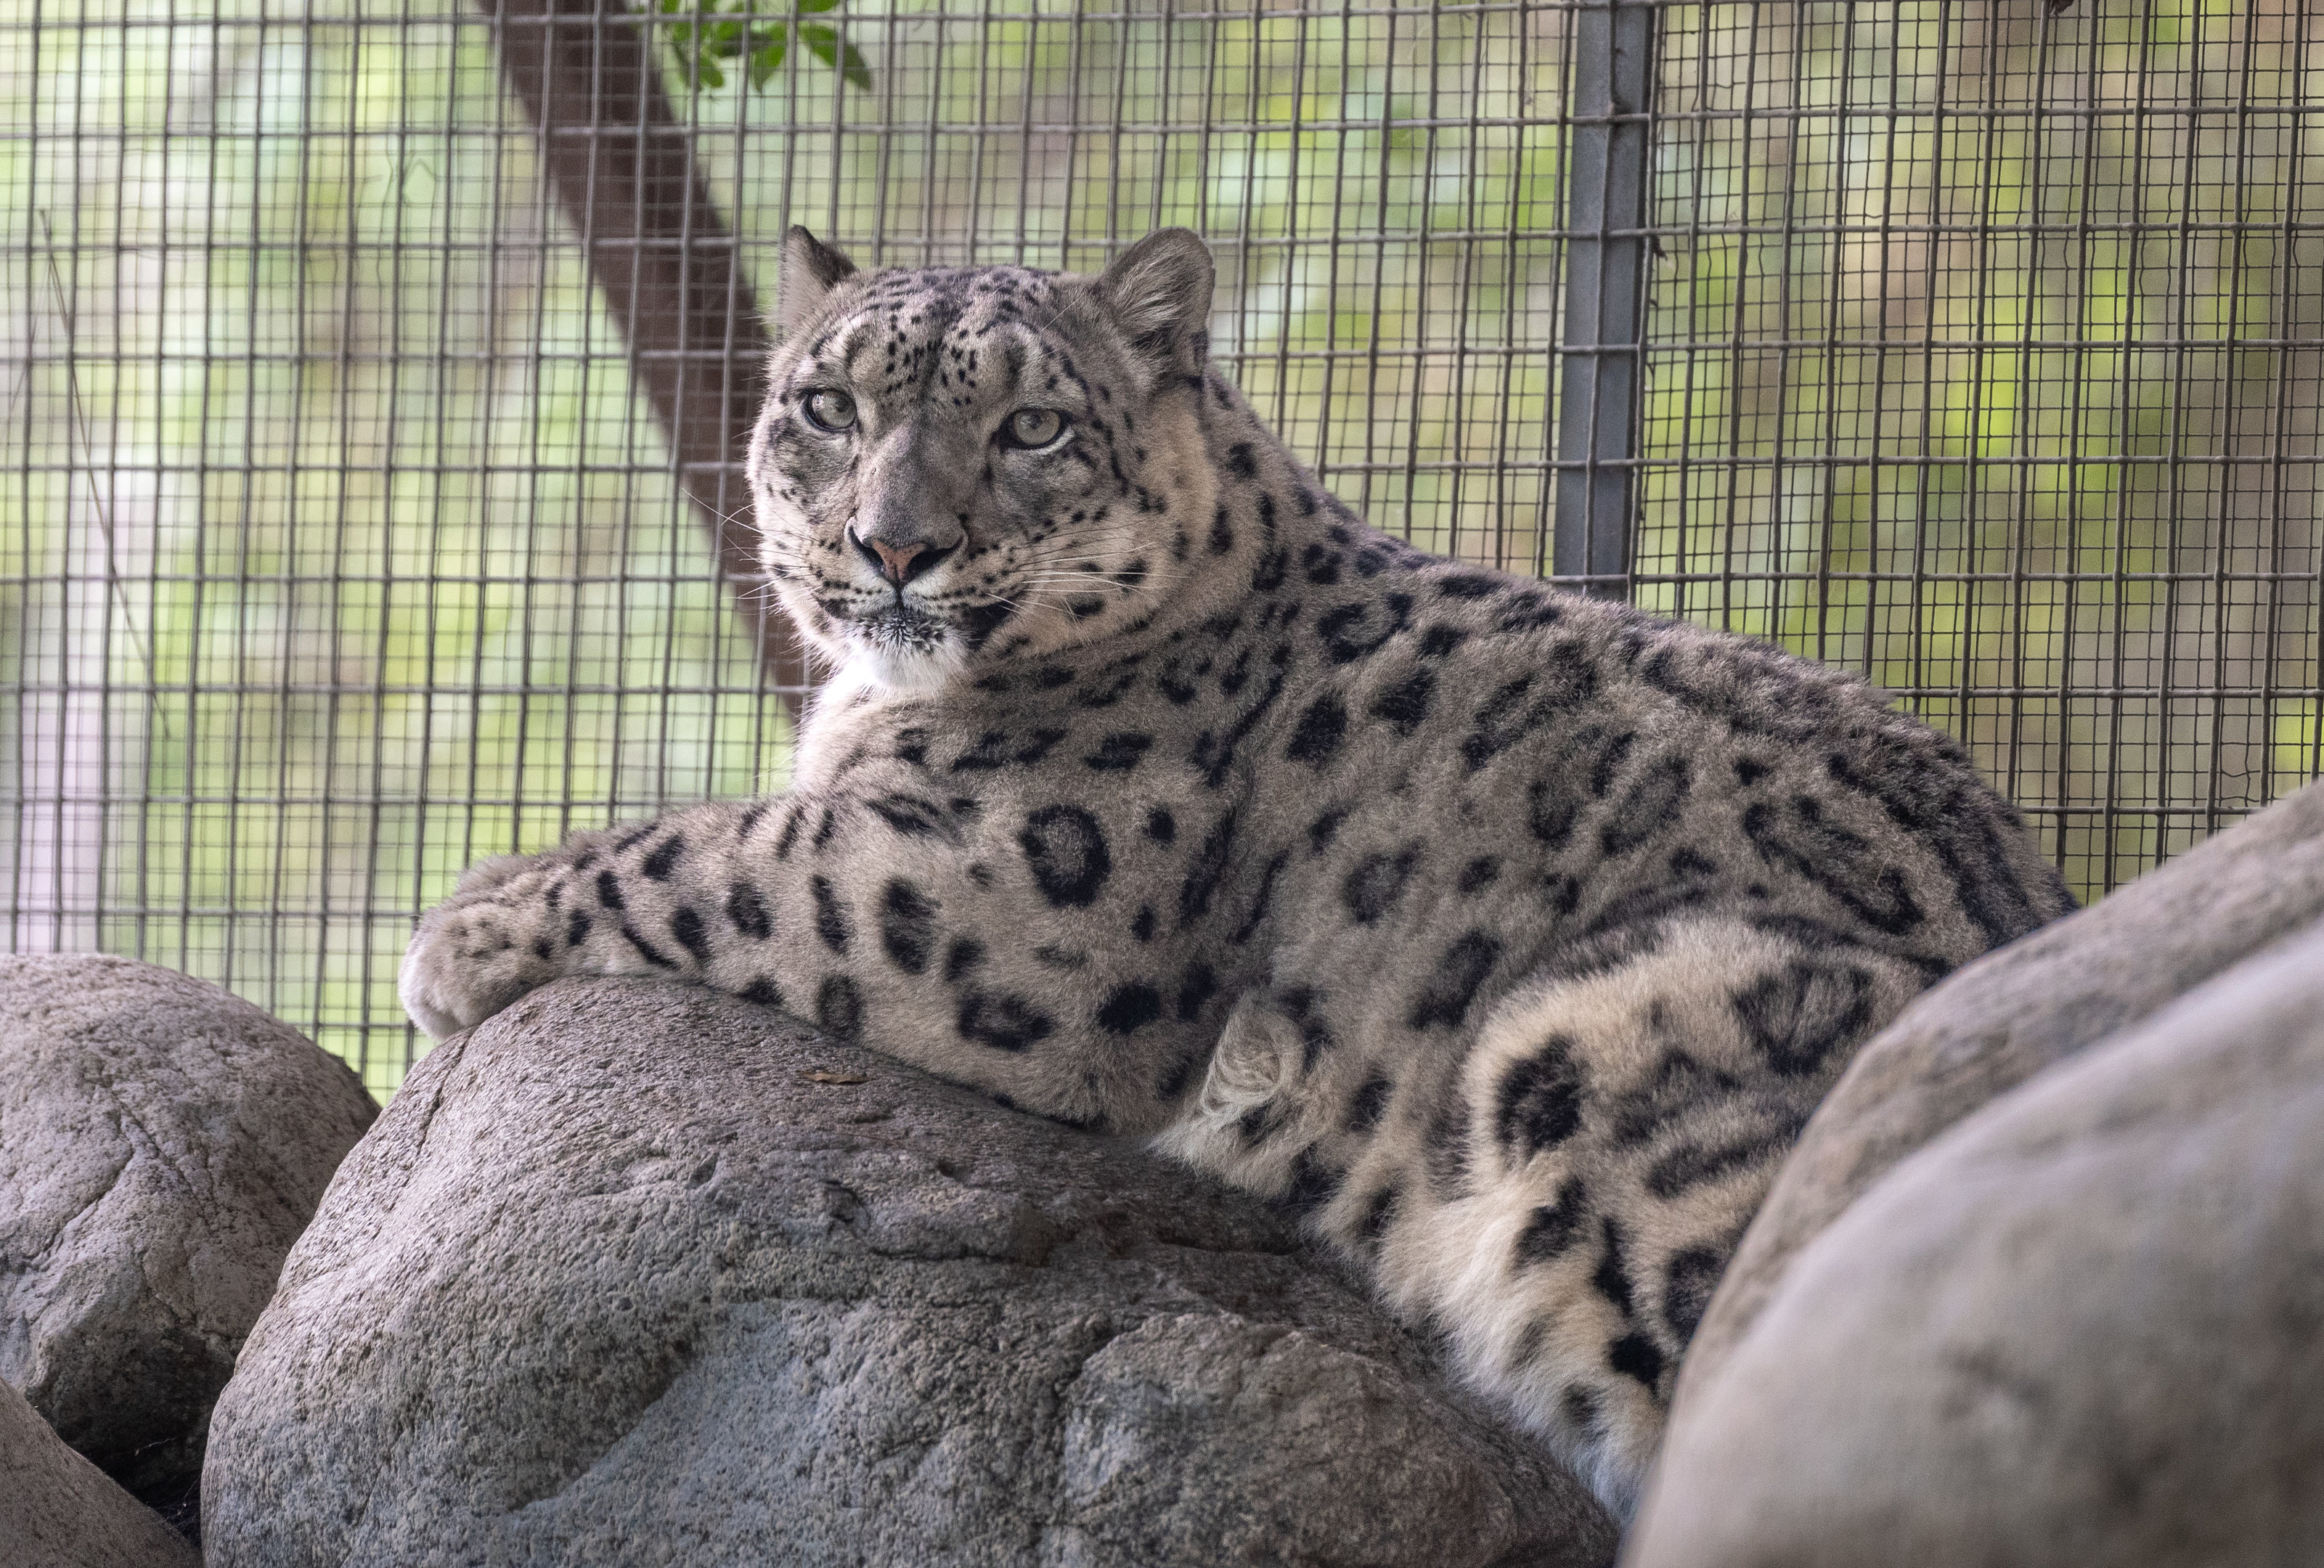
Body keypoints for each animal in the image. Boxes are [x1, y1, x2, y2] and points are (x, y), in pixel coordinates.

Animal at [399, 226, 2073, 1520]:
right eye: (824, 403)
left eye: (1031, 429)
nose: (892, 546)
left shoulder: (1007, 897)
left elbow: (728, 850)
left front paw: (463, 928)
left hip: (1612, 1035)